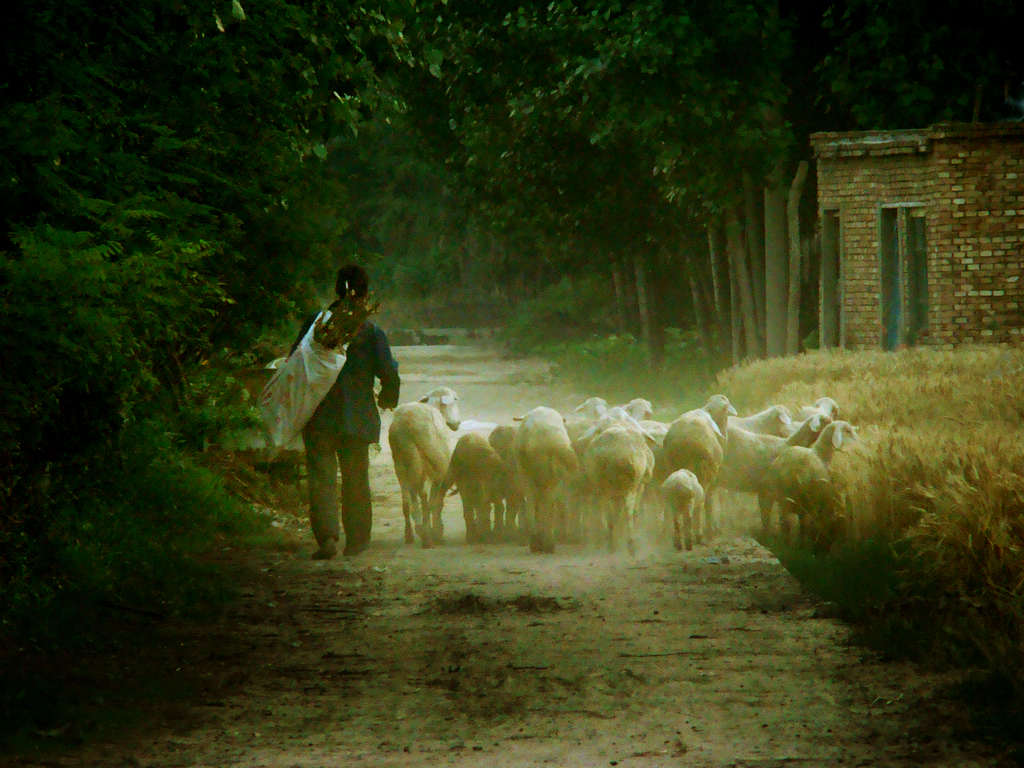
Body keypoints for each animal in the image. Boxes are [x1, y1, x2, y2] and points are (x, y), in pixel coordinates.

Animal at [509, 409, 577, 552]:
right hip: (550, 468)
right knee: (547, 499)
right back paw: (547, 544)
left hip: (533, 465)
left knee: (535, 499)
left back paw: (537, 543)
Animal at [770, 417, 856, 548]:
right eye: (847, 431)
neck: (821, 453)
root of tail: (793, 469)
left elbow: (802, 525)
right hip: (809, 499)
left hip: (785, 497)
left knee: (786, 524)